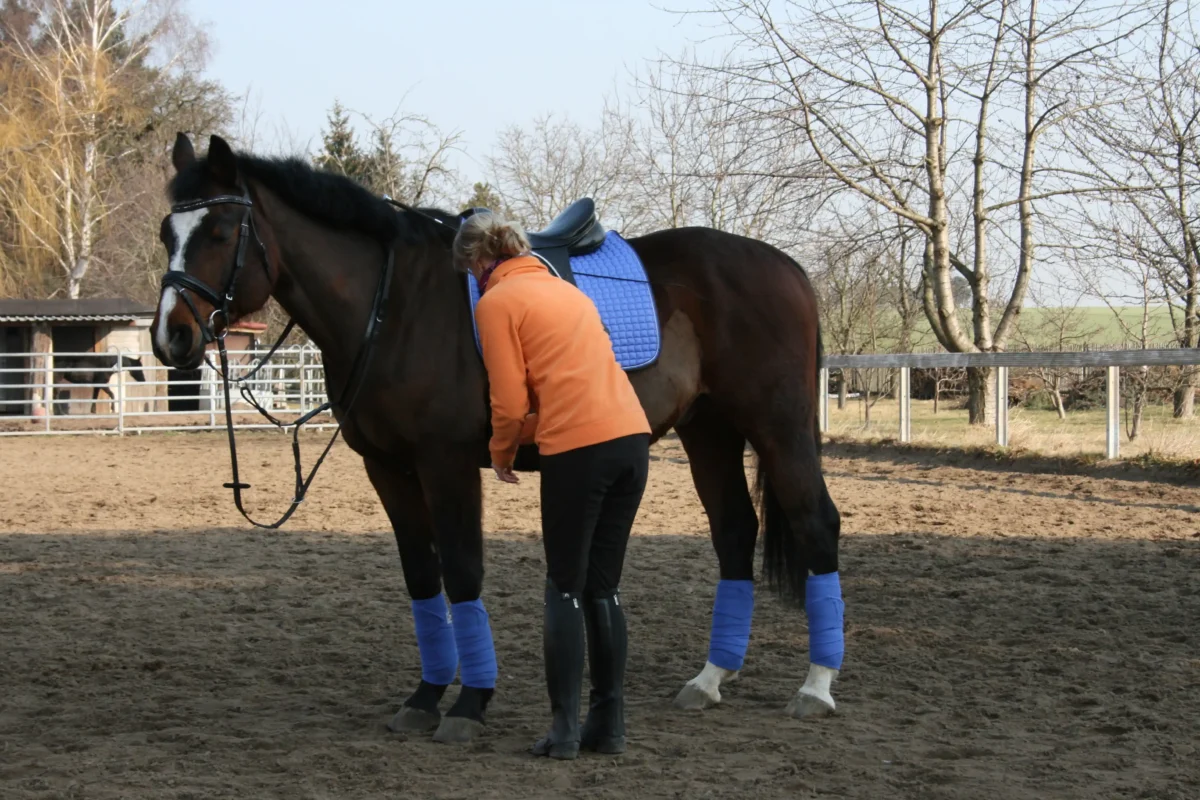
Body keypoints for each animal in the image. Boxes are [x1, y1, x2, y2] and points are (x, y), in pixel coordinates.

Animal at [152, 134, 842, 745]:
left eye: (220, 233)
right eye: (167, 234)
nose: (171, 337)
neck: (394, 305)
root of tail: (787, 267)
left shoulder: (446, 464)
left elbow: (462, 574)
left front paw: (470, 703)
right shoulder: (388, 469)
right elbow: (422, 579)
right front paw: (426, 696)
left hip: (777, 430)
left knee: (816, 525)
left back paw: (815, 687)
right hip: (710, 432)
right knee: (735, 532)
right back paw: (711, 678)